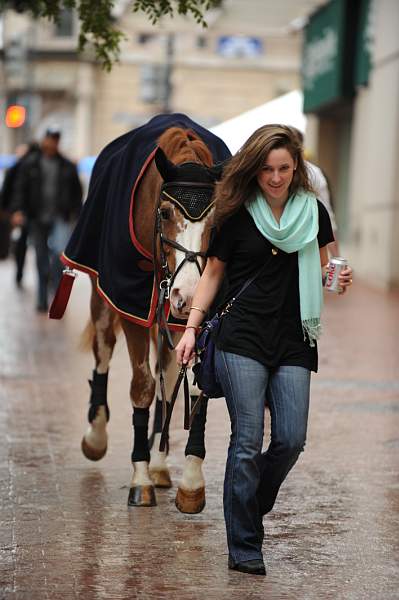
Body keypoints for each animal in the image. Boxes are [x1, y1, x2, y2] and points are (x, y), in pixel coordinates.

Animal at [56, 115, 231, 512]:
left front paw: (190, 480)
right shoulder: (131, 305)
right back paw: (97, 437)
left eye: (216, 222)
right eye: (165, 213)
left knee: (168, 373)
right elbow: (142, 387)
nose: (188, 295)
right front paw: (140, 477)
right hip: (106, 302)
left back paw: (162, 464)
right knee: (104, 355)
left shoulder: (190, 319)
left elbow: (194, 385)